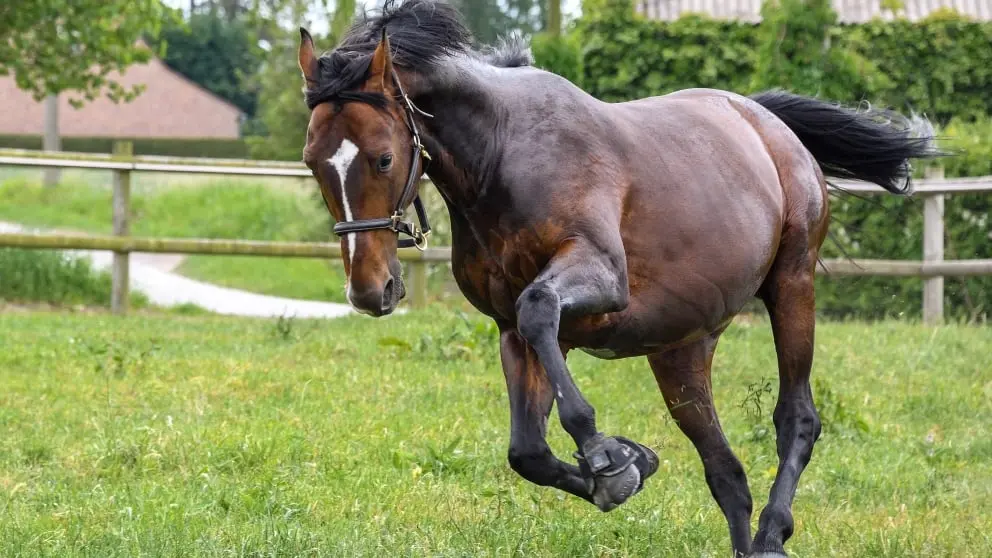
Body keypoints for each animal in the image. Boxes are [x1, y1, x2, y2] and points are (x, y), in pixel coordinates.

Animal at [296, 2, 944, 556]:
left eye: (383, 157)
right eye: (312, 162)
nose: (370, 290)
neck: (502, 155)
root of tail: (766, 121)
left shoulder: (599, 280)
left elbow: (541, 311)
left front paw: (607, 455)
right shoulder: (511, 330)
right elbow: (528, 451)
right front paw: (628, 466)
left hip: (792, 286)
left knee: (796, 418)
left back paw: (772, 532)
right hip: (681, 349)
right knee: (726, 473)